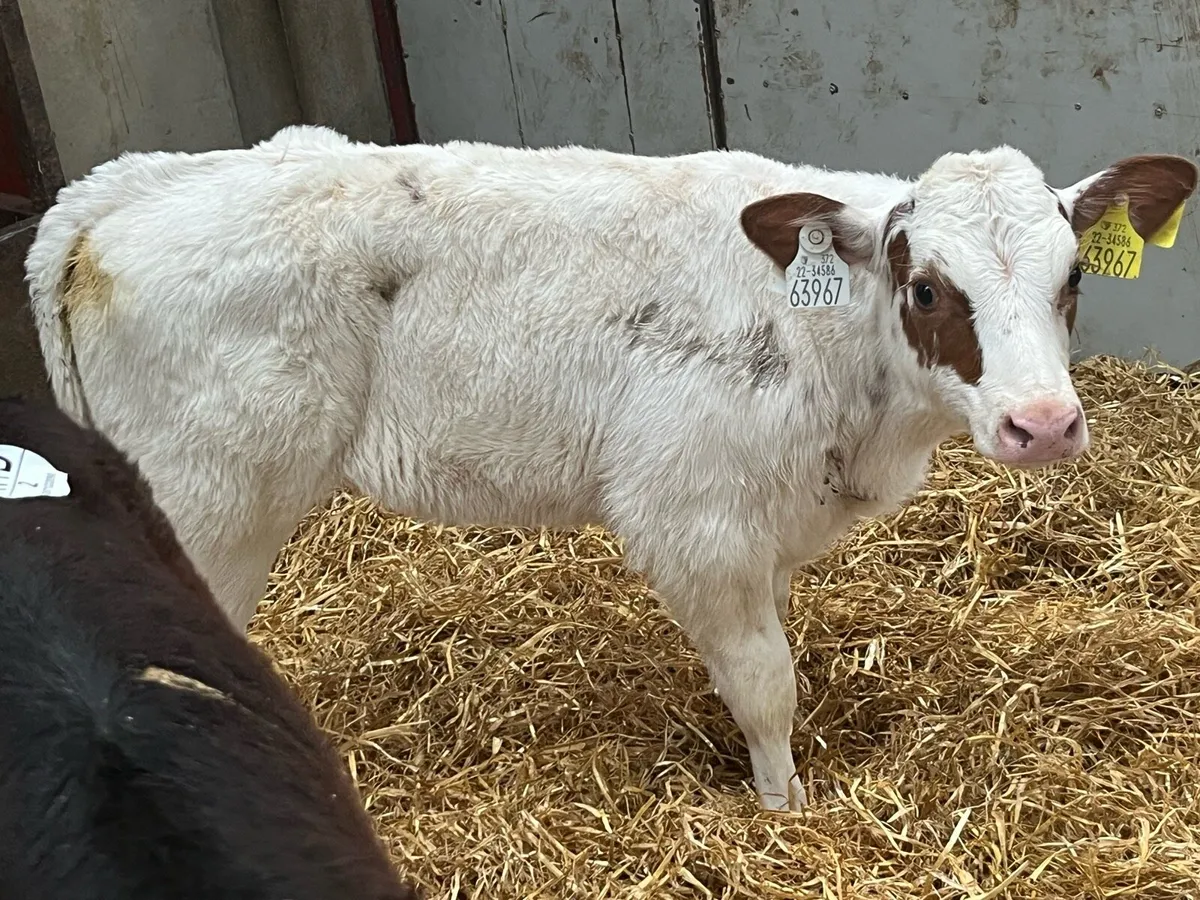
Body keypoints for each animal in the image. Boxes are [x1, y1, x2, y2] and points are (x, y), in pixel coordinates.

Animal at [24, 125, 1197, 810]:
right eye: (926, 289)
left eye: (1074, 276)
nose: (1044, 424)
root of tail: (123, 188)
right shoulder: (696, 516)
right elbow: (765, 684)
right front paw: (784, 810)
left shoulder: (767, 522)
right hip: (206, 507)